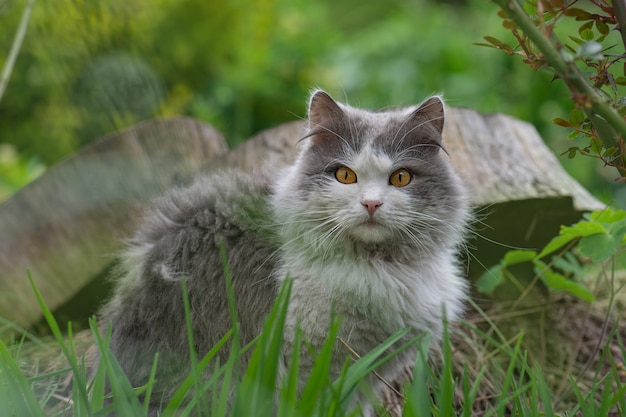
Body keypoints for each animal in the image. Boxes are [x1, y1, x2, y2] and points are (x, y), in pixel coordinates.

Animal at [98, 89, 468, 414]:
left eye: (401, 177)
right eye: (345, 175)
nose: (371, 203)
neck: (378, 266)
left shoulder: (368, 372)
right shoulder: (305, 359)